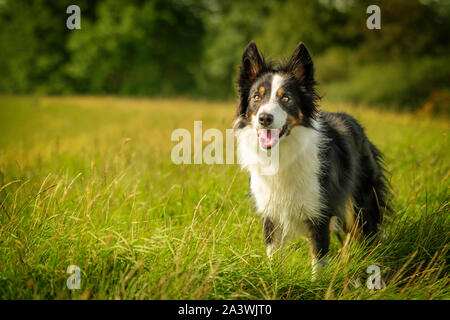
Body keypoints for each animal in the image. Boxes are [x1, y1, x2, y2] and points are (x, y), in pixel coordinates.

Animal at [234, 40, 388, 276]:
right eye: (256, 97)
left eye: (286, 98)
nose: (264, 118)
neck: (282, 153)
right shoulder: (271, 214)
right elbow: (273, 256)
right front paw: (274, 279)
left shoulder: (320, 213)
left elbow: (319, 259)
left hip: (361, 202)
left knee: (364, 233)